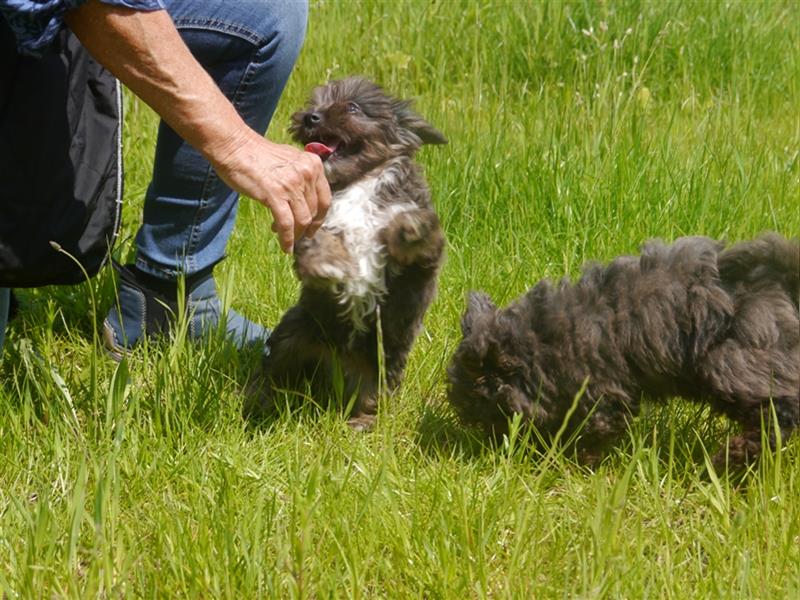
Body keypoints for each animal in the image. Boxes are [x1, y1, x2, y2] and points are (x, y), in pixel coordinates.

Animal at [247, 77, 446, 428]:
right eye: (315, 103)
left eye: (353, 107)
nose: (310, 117)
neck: (360, 181)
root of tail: (335, 366)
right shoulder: (315, 221)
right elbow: (323, 242)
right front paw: (328, 264)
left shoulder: (416, 276)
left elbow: (416, 238)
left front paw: (411, 227)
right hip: (295, 331)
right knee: (275, 371)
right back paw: (259, 401)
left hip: (380, 363)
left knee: (371, 395)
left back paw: (362, 422)